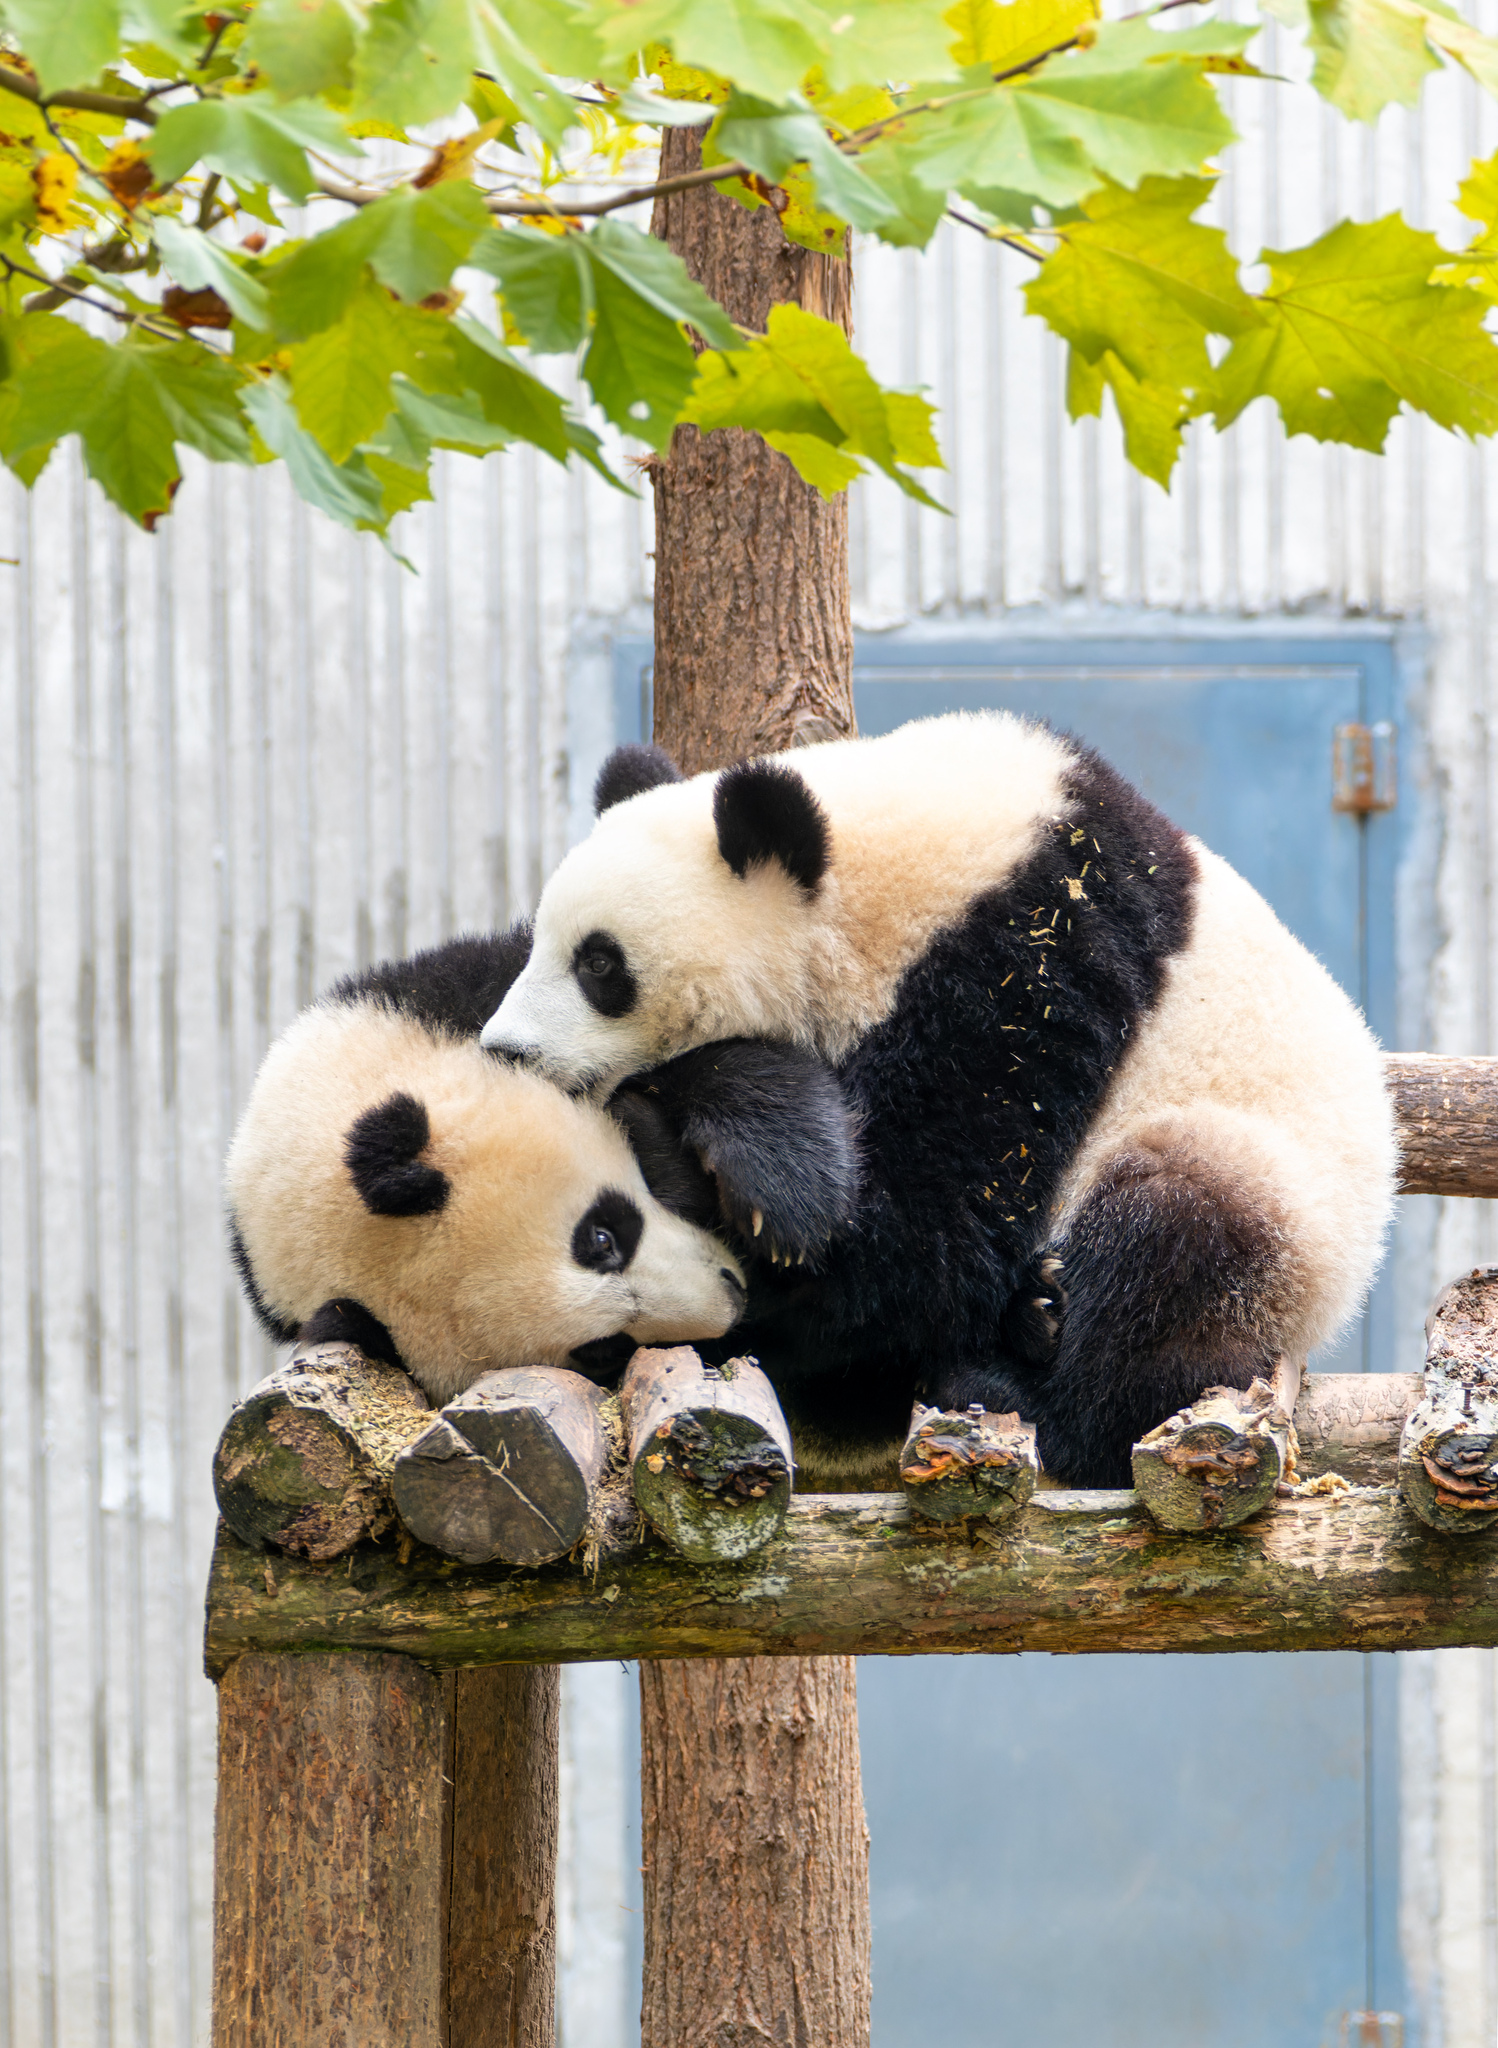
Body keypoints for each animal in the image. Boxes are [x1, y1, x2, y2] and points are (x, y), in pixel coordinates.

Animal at [475, 712, 1401, 1482]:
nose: (505, 1050)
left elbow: (924, 1242)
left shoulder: (1026, 963)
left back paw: (1027, 1371)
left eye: (600, 965)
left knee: (1176, 1241)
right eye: (542, 940)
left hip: (1275, 1208)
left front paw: (758, 1194)